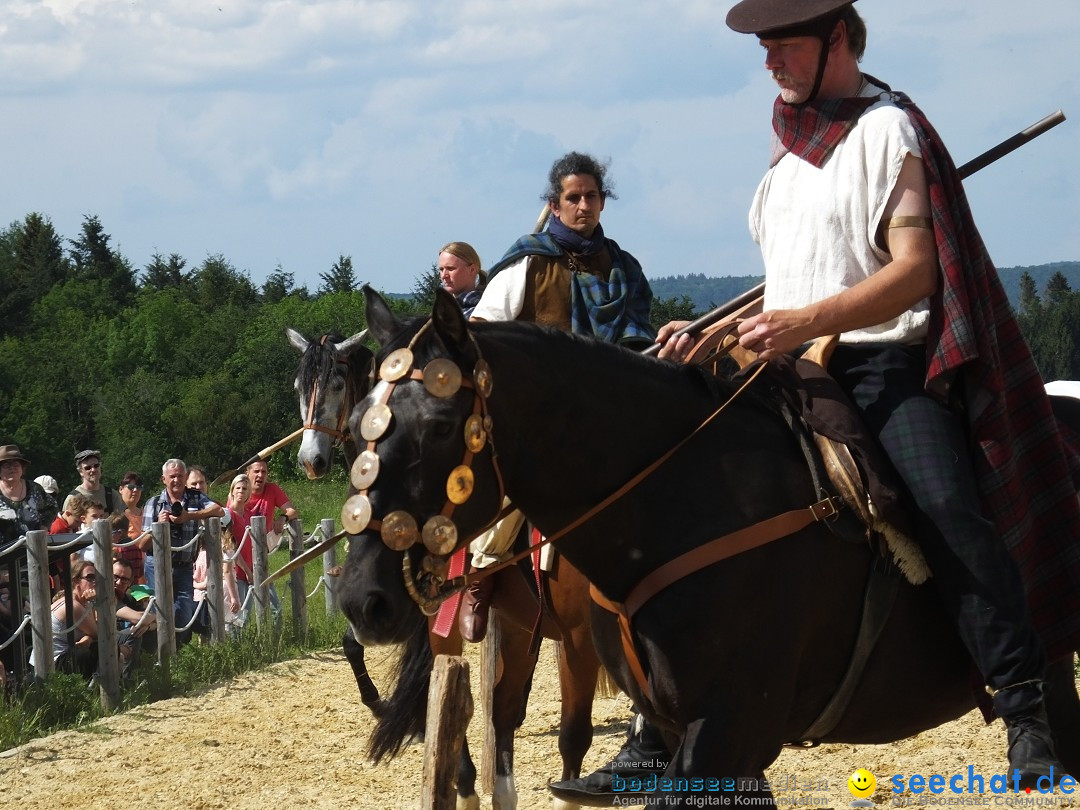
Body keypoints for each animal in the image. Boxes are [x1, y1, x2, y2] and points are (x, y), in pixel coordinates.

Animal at [339, 291, 1080, 810]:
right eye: (356, 423)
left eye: (440, 426)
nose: (359, 598)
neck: (686, 497)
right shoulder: (698, 733)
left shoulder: (727, 730)